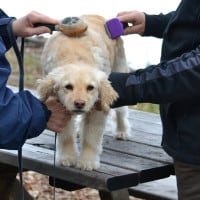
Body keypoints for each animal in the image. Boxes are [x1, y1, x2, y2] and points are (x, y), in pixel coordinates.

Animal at [37, 14, 130, 170]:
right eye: (68, 87)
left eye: (90, 88)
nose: (79, 104)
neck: (76, 58)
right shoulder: (61, 108)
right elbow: (66, 135)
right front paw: (68, 157)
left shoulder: (98, 108)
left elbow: (91, 137)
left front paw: (87, 162)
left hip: (120, 66)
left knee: (121, 111)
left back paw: (122, 131)